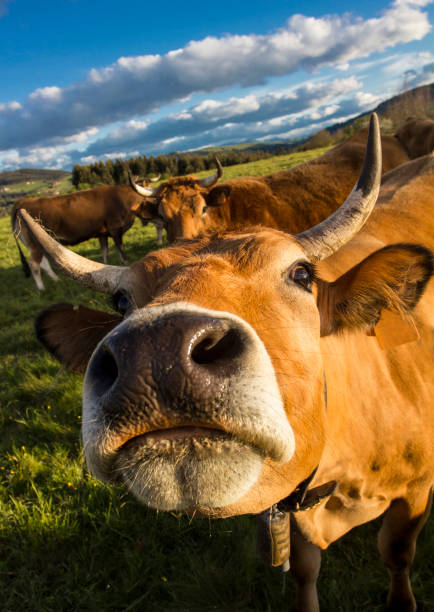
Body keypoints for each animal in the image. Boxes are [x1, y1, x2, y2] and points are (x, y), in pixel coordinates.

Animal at [11, 183, 159, 290]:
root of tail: (21, 202)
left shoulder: (102, 233)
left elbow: (104, 250)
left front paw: (105, 264)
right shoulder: (115, 228)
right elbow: (119, 246)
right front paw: (125, 261)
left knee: (43, 263)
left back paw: (56, 280)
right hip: (35, 245)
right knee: (34, 264)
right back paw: (41, 288)